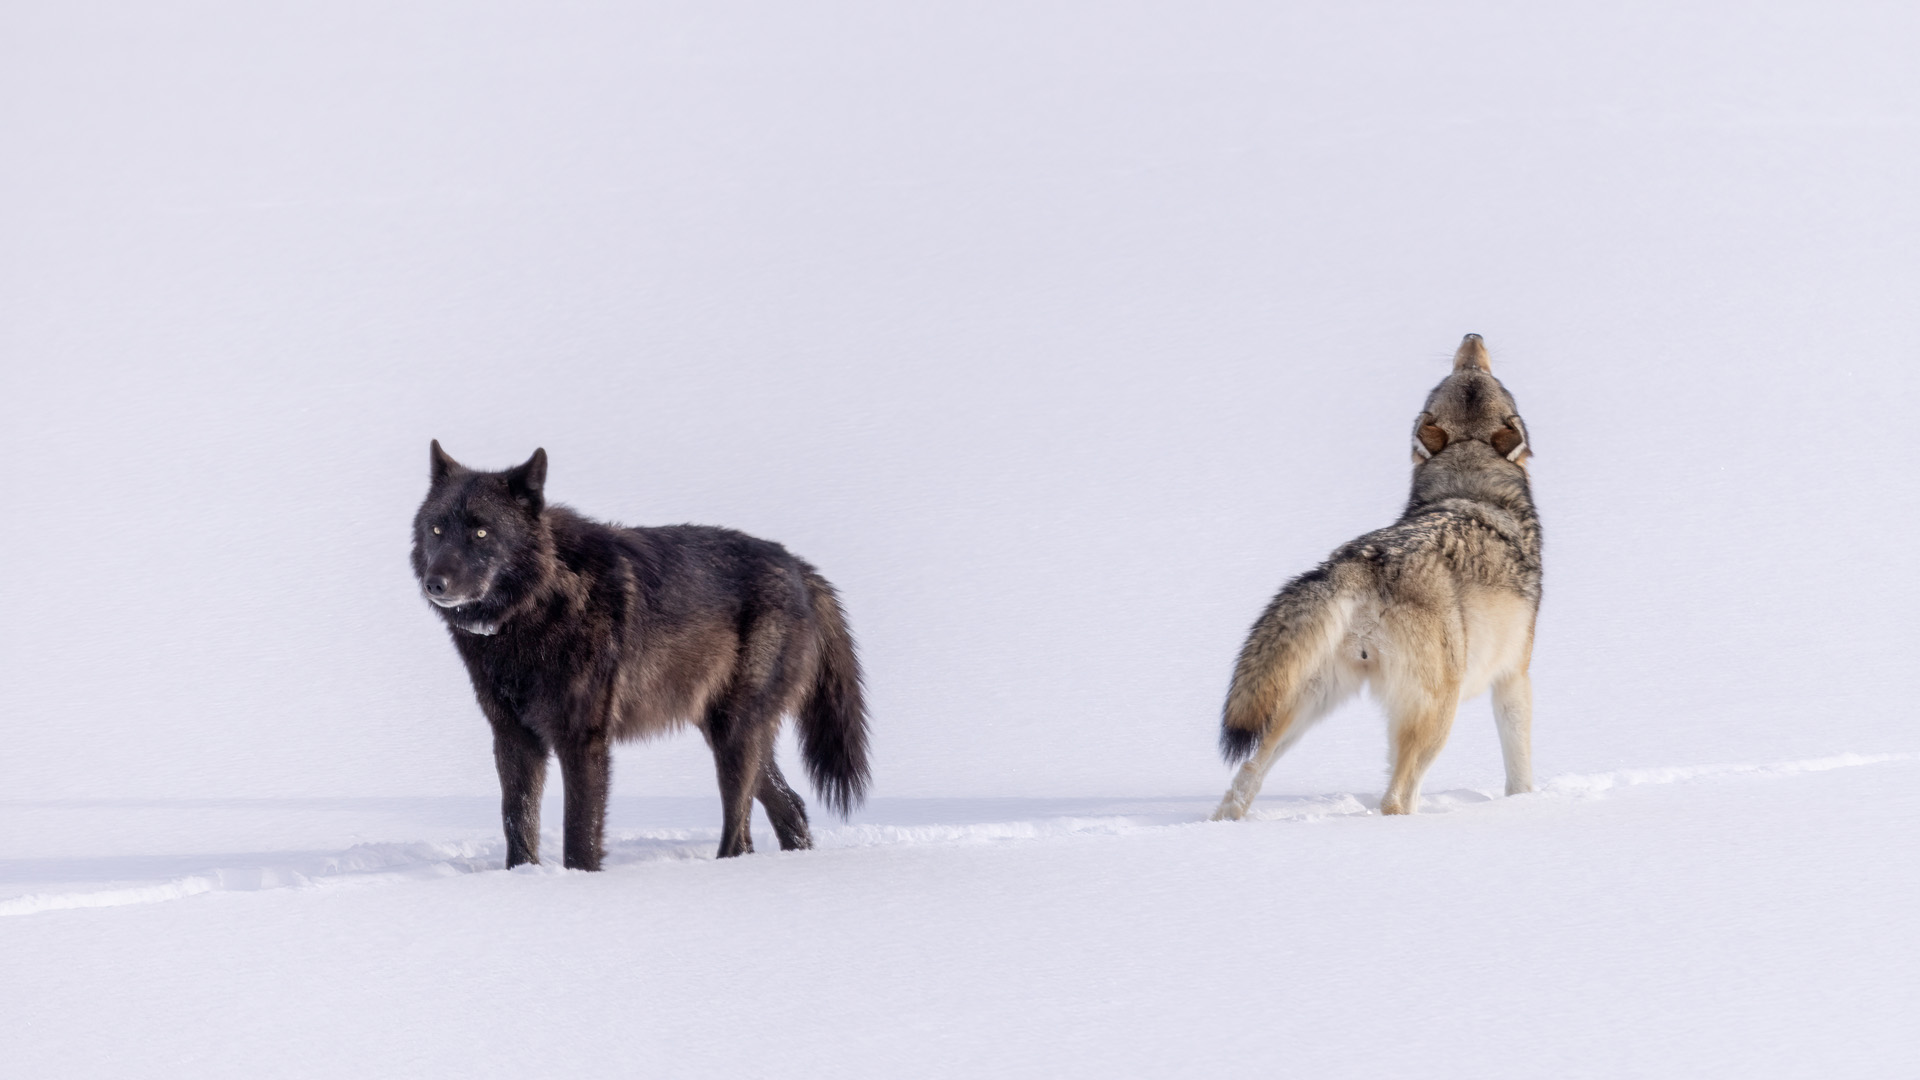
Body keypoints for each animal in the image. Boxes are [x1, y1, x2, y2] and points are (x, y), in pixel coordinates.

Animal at [412, 442, 870, 870]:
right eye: (436, 530)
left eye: (481, 533)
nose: (435, 583)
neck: (535, 608)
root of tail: (802, 569)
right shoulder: (513, 737)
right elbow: (517, 820)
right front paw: (522, 876)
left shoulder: (582, 739)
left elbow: (579, 831)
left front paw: (578, 879)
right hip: (728, 731)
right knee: (790, 806)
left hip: (734, 734)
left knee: (741, 830)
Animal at [1213, 334, 1541, 820]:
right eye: (1483, 378)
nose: (1472, 336)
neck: (1469, 479)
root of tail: (1359, 563)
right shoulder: (1515, 674)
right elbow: (1519, 767)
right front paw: (1526, 805)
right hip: (1436, 713)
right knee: (1396, 796)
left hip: (1306, 701)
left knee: (1245, 776)